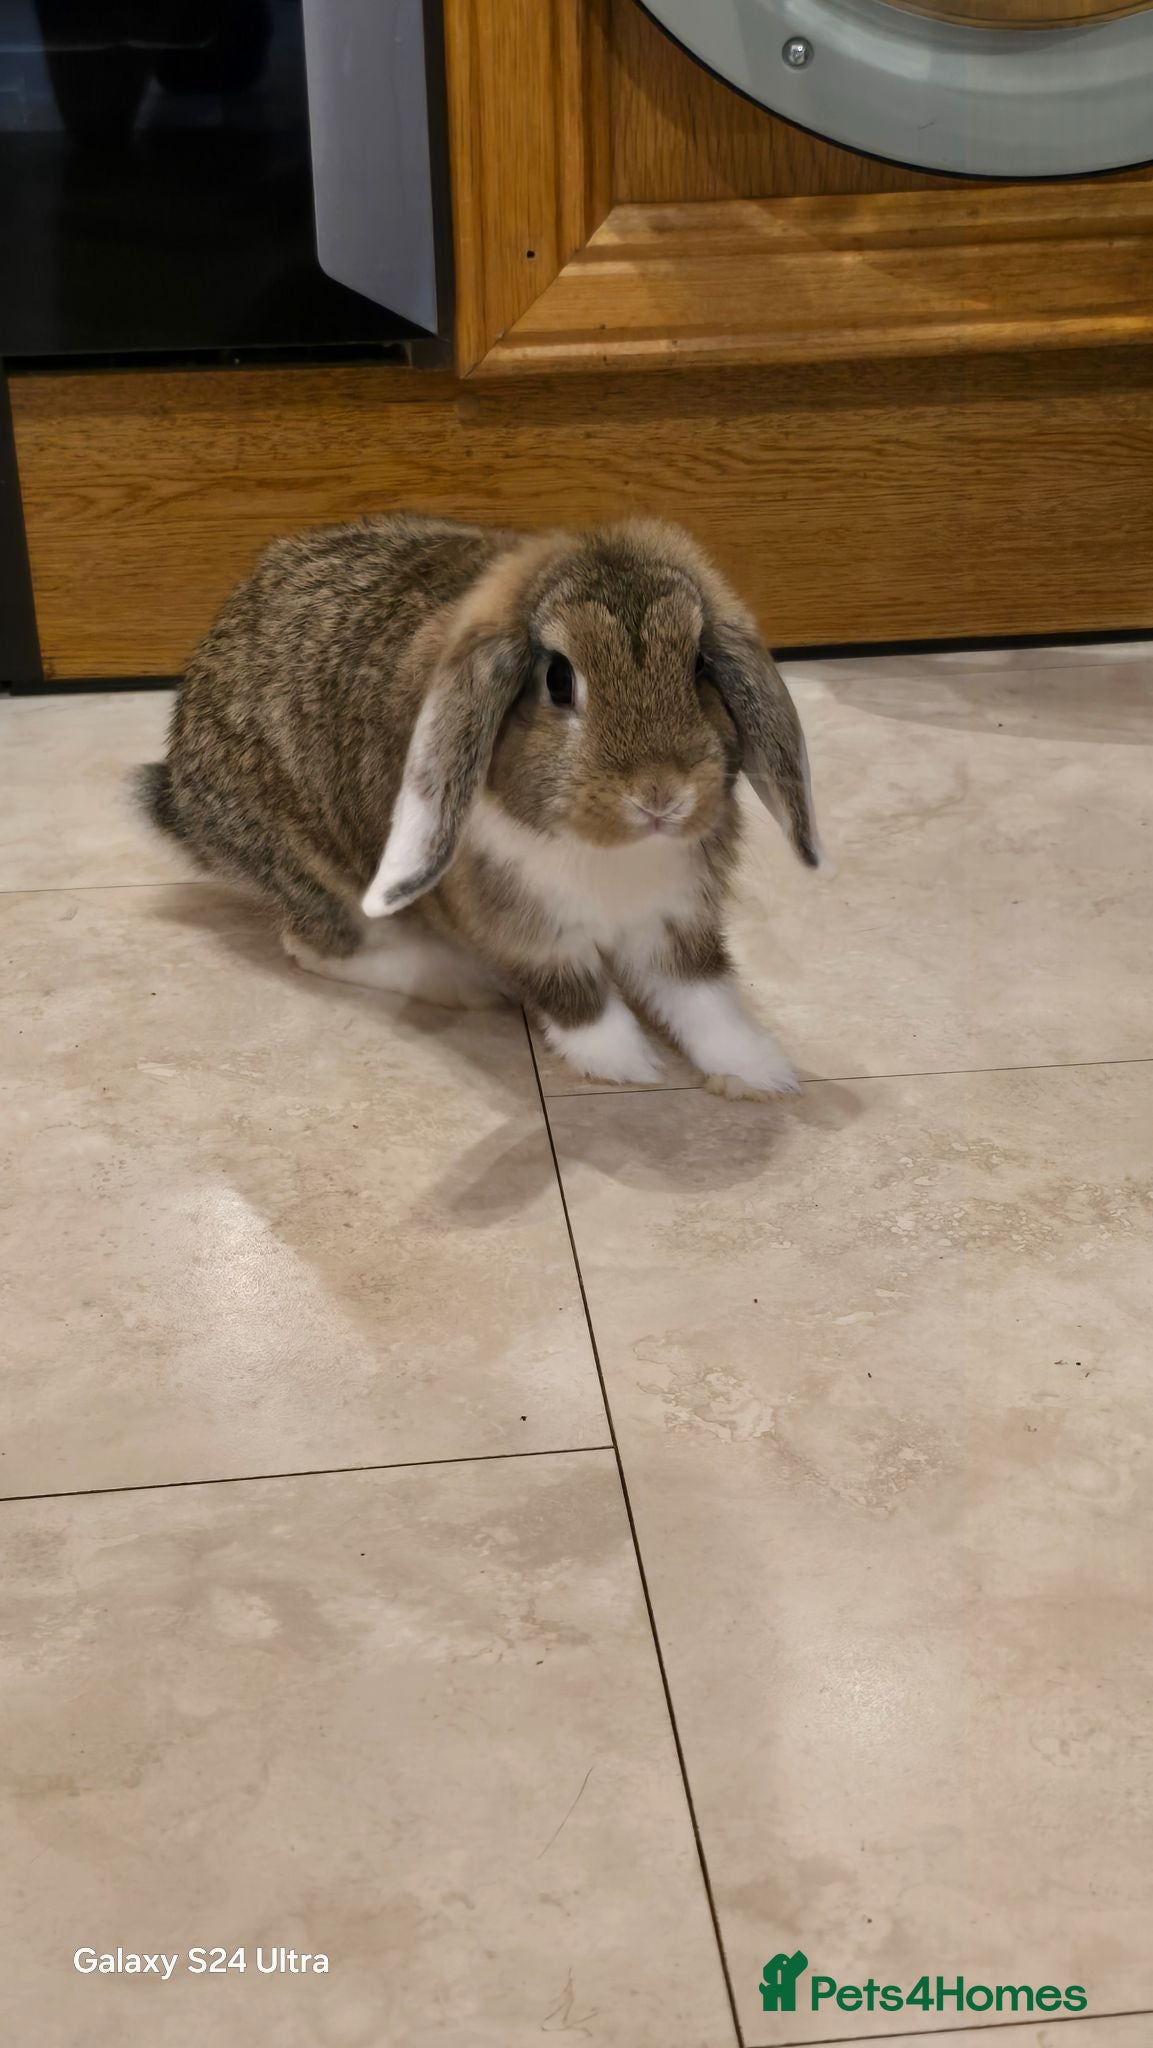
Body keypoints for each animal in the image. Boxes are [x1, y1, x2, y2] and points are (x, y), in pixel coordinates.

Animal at [137, 513, 822, 1097]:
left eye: (699, 664)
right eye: (558, 679)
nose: (660, 795)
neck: (609, 851)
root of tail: (182, 793)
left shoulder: (677, 923)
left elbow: (705, 995)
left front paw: (759, 1072)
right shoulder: (527, 934)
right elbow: (578, 999)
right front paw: (626, 1064)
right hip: (317, 874)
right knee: (315, 945)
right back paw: (462, 983)